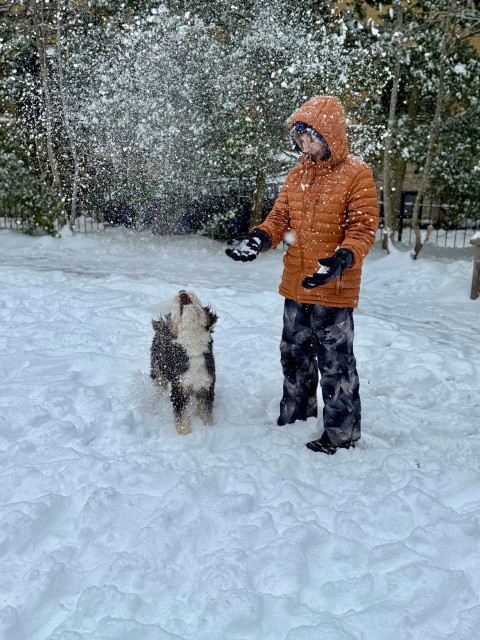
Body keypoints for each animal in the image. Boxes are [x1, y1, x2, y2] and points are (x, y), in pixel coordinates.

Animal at [150, 292, 218, 436]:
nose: (182, 291)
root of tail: (162, 326)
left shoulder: (207, 385)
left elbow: (206, 412)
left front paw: (208, 427)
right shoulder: (179, 389)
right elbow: (181, 417)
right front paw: (184, 433)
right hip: (158, 370)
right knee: (160, 387)